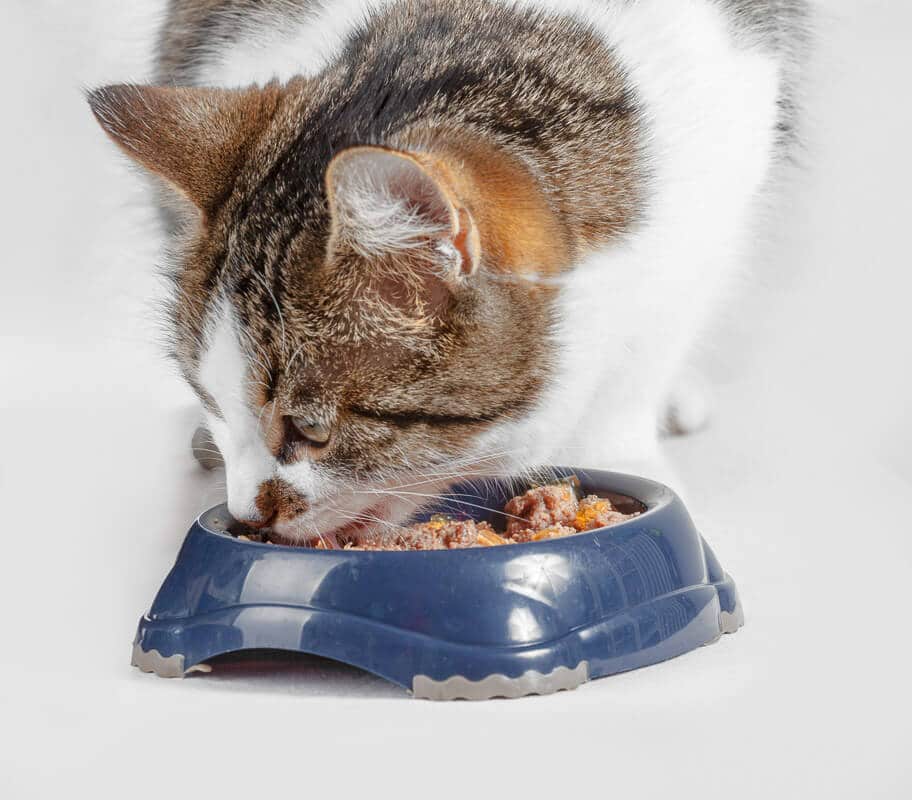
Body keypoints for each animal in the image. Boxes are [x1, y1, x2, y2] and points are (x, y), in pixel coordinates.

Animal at [87, 0, 812, 544]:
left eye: (310, 432)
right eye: (210, 398)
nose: (244, 512)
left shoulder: (720, 184)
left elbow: (648, 353)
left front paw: (624, 448)